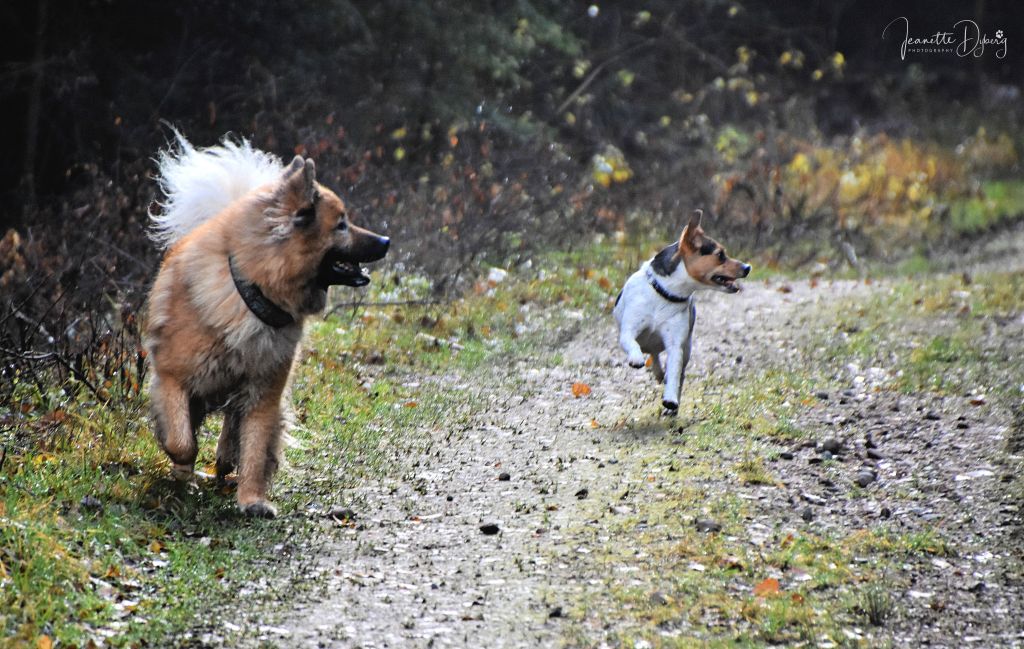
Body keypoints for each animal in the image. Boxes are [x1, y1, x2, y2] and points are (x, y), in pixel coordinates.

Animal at [143, 131, 389, 517]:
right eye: (341, 224)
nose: (386, 241)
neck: (252, 290)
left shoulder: (264, 392)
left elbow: (256, 449)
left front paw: (252, 500)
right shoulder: (173, 378)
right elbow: (181, 440)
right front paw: (182, 467)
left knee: (233, 430)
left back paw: (225, 459)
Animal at [613, 210, 750, 413]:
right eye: (720, 255)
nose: (748, 267)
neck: (664, 294)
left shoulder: (676, 345)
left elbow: (674, 373)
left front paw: (670, 399)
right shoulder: (630, 329)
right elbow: (631, 342)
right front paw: (636, 358)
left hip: (687, 348)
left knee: (673, 370)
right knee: (653, 355)